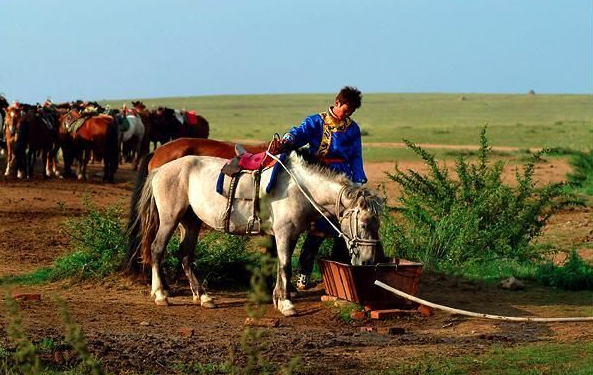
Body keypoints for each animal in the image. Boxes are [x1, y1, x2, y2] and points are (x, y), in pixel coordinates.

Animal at [135, 151, 384, 316]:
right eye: (364, 224)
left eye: (377, 225)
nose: (368, 261)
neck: (299, 188)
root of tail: (161, 170)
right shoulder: (284, 233)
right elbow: (285, 266)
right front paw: (286, 304)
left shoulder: (288, 234)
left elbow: (278, 264)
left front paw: (277, 298)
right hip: (170, 219)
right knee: (157, 249)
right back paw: (161, 295)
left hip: (190, 222)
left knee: (185, 255)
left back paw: (203, 297)